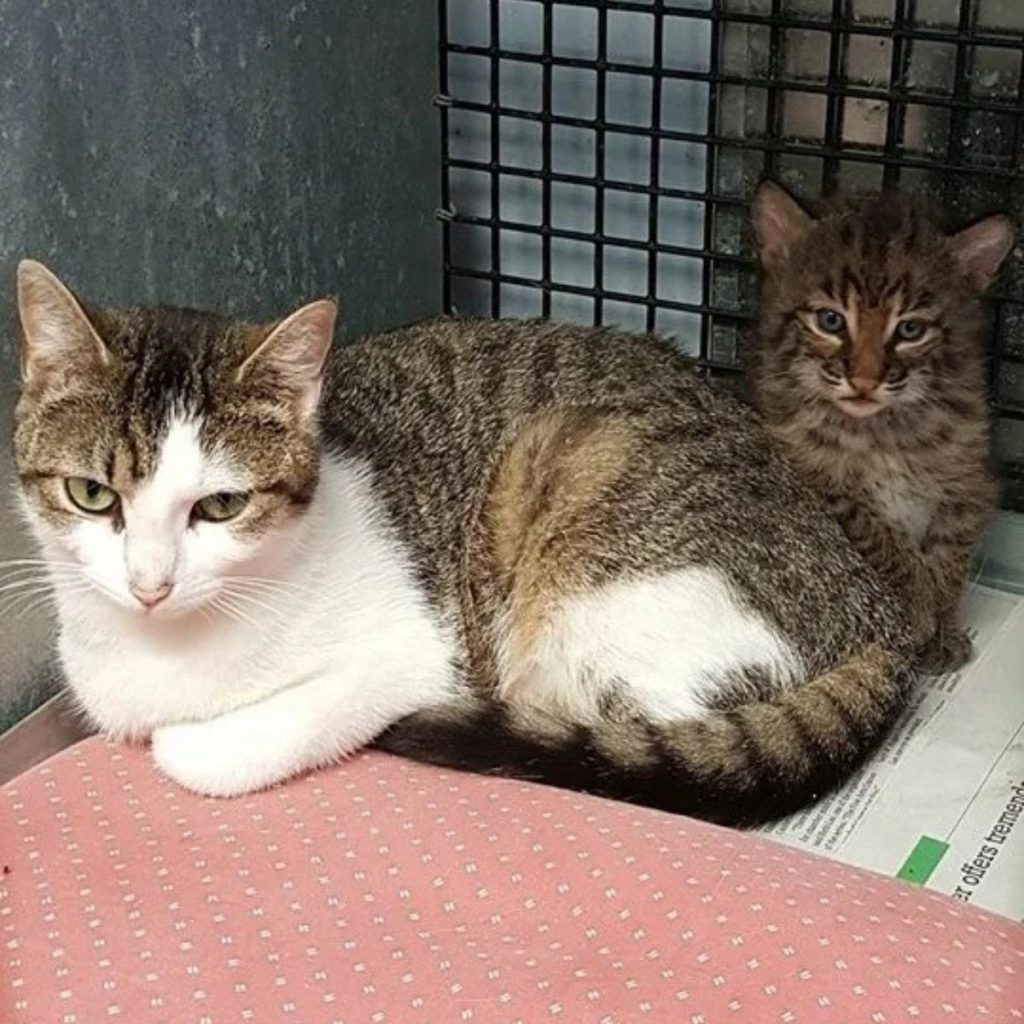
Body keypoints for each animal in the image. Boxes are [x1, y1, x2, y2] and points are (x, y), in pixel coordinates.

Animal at [14, 260, 913, 827]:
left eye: (221, 505)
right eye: (93, 495)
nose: (150, 583)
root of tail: (878, 612)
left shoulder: (410, 658)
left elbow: (207, 754)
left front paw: (191, 740)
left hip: (588, 514)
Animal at [749, 184, 1011, 675]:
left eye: (909, 330)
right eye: (830, 321)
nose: (865, 380)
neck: (885, 430)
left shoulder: (970, 481)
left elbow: (950, 555)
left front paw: (942, 622)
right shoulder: (818, 480)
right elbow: (883, 538)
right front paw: (922, 611)